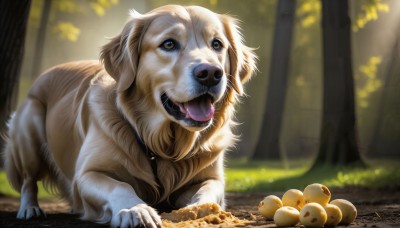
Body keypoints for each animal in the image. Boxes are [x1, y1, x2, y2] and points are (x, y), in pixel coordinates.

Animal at [2, 4, 256, 227]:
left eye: (217, 44)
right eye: (169, 44)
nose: (210, 73)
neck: (160, 143)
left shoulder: (211, 177)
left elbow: (208, 191)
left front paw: (199, 211)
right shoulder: (86, 174)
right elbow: (120, 186)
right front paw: (136, 210)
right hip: (30, 131)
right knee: (28, 181)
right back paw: (30, 208)